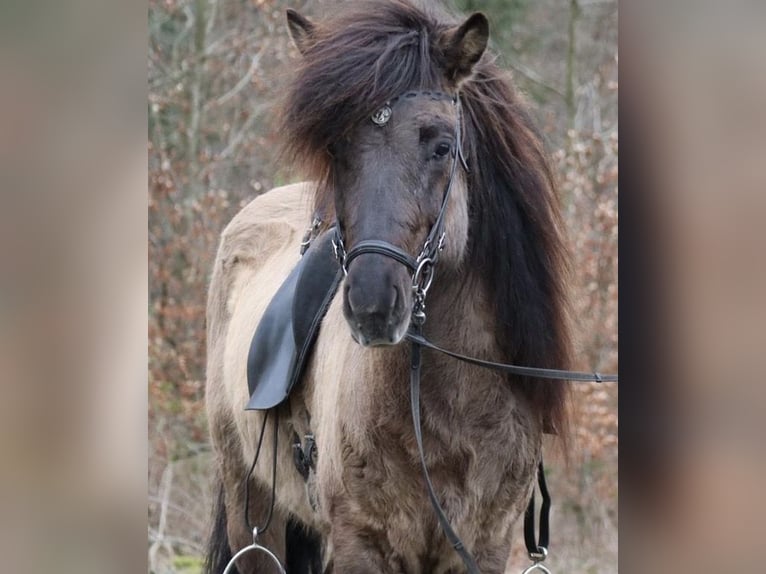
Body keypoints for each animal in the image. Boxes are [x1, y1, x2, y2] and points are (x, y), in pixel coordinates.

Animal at [204, 1, 573, 572]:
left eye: (442, 146)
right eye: (334, 149)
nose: (372, 307)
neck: (451, 407)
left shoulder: (484, 546)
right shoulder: (362, 542)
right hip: (255, 515)